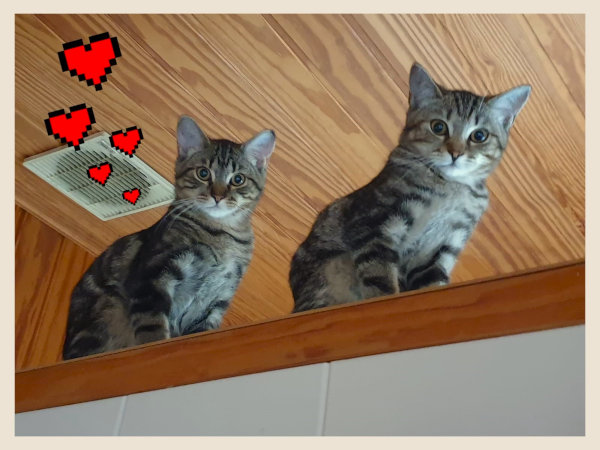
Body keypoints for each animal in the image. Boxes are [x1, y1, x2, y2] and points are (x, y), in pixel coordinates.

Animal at [63, 116, 276, 359]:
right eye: (203, 173)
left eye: (238, 179)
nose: (218, 196)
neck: (221, 235)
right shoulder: (152, 277)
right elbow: (152, 328)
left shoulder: (216, 300)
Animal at [289, 63, 530, 312]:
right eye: (438, 126)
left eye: (479, 135)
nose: (455, 153)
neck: (451, 188)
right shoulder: (375, 226)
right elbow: (380, 279)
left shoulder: (442, 246)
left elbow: (433, 282)